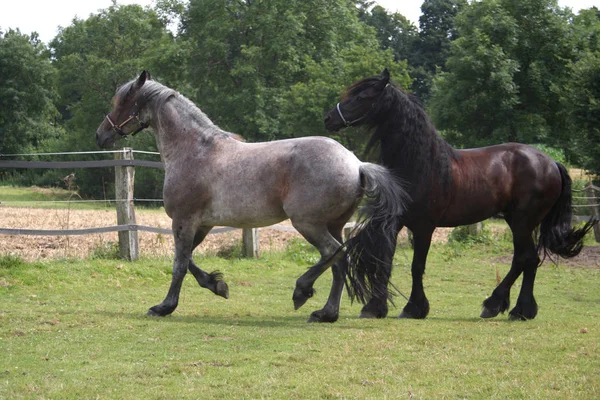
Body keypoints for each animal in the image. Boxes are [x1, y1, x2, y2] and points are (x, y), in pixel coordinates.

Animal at [96, 71, 406, 322]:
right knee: (340, 263)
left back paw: (302, 291)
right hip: (334, 225)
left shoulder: (184, 221)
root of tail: (356, 164)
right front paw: (217, 285)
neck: (195, 151)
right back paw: (326, 313)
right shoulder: (201, 224)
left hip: (308, 224)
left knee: (336, 254)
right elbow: (188, 259)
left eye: (123, 101)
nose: (101, 135)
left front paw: (164, 307)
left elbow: (179, 264)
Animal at [326, 68, 596, 318]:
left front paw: (414, 307)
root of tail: (552, 163)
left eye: (362, 96)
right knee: (526, 259)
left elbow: (417, 266)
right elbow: (385, 259)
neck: (421, 164)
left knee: (526, 259)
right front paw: (375, 306)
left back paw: (504, 307)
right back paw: (513, 308)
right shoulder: (396, 221)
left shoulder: (424, 226)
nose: (329, 118)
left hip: (522, 222)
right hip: (516, 221)